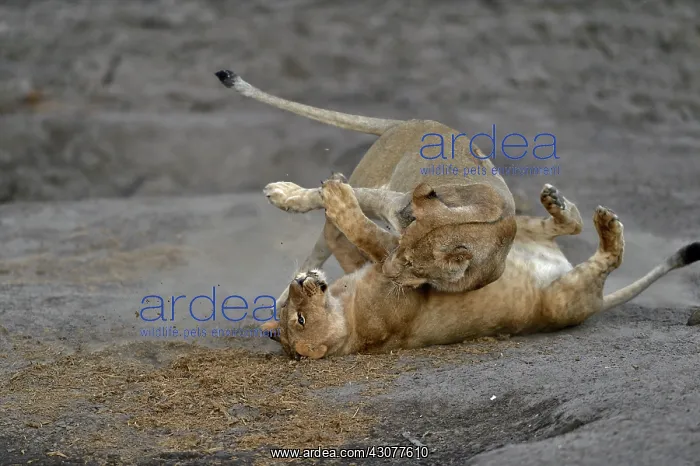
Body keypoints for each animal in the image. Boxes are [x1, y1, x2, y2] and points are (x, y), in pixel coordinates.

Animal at [214, 70, 518, 308]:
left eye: (413, 264)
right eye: (403, 249)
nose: (389, 270)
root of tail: (406, 122)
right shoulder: (386, 201)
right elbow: (323, 197)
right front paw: (285, 194)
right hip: (369, 178)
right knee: (318, 248)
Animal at [259, 180, 699, 359]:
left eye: (290, 312)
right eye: (299, 319)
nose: (299, 281)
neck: (343, 304)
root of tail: (599, 301)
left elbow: (356, 222)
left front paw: (293, 194)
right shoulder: (395, 280)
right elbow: (369, 234)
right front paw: (338, 200)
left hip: (517, 231)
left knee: (562, 226)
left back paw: (561, 205)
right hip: (561, 299)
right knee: (610, 259)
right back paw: (608, 229)